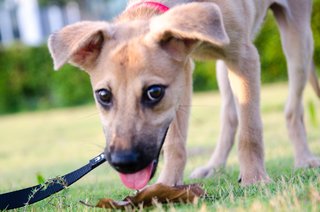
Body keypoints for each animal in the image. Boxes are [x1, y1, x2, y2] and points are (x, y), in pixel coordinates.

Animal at [48, 0, 320, 189]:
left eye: (154, 92)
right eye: (103, 95)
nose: (124, 163)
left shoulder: (244, 58)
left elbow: (250, 130)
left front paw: (255, 178)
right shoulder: (184, 70)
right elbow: (175, 142)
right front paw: (167, 184)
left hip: (298, 40)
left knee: (292, 109)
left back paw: (304, 159)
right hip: (222, 68)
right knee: (230, 117)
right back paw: (214, 166)